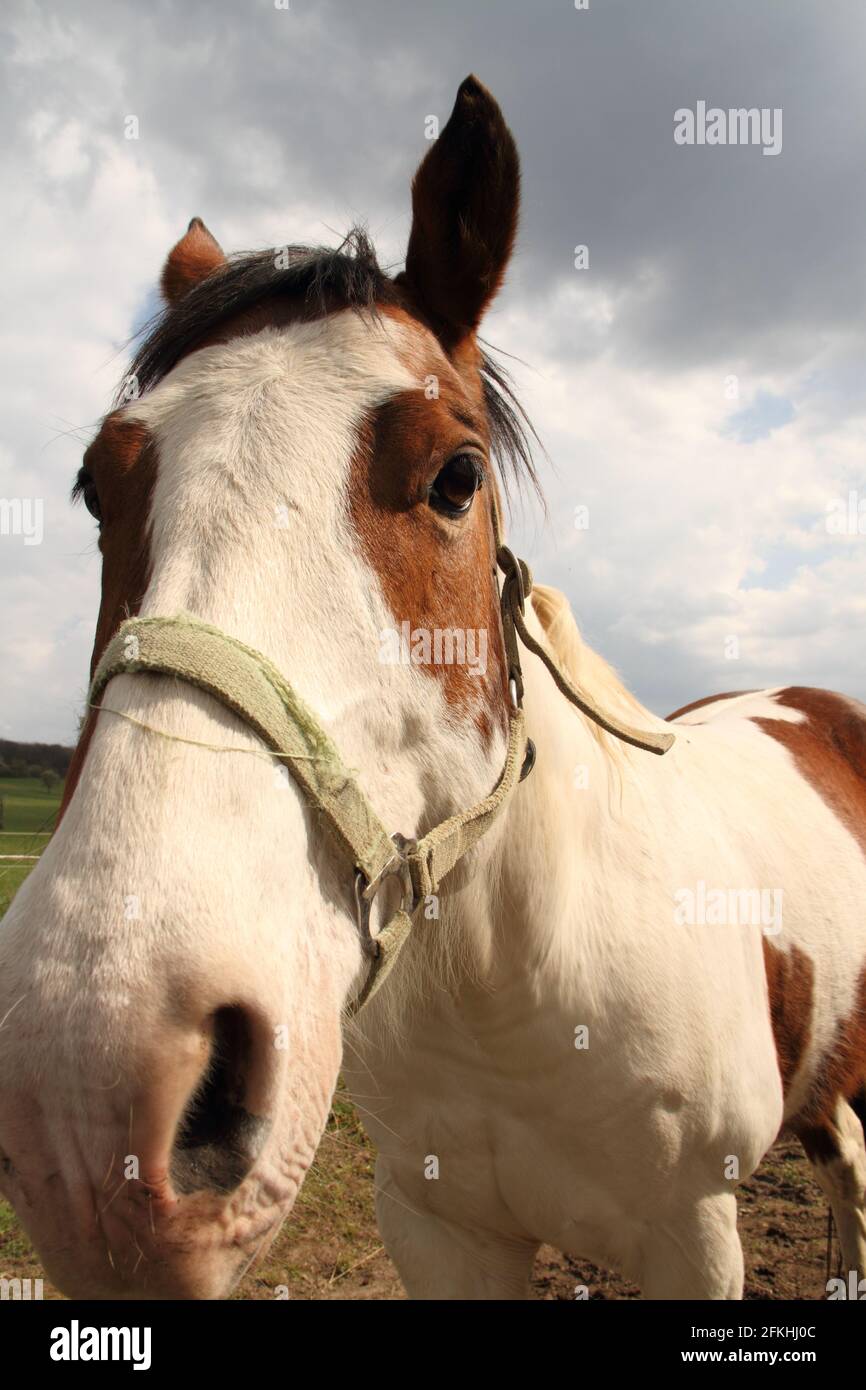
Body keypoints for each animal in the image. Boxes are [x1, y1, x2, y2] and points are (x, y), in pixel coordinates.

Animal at [1, 74, 864, 1301]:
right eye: (92, 483)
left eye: (457, 476)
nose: (89, 1090)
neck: (509, 999)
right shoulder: (437, 1228)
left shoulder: (693, 1237)